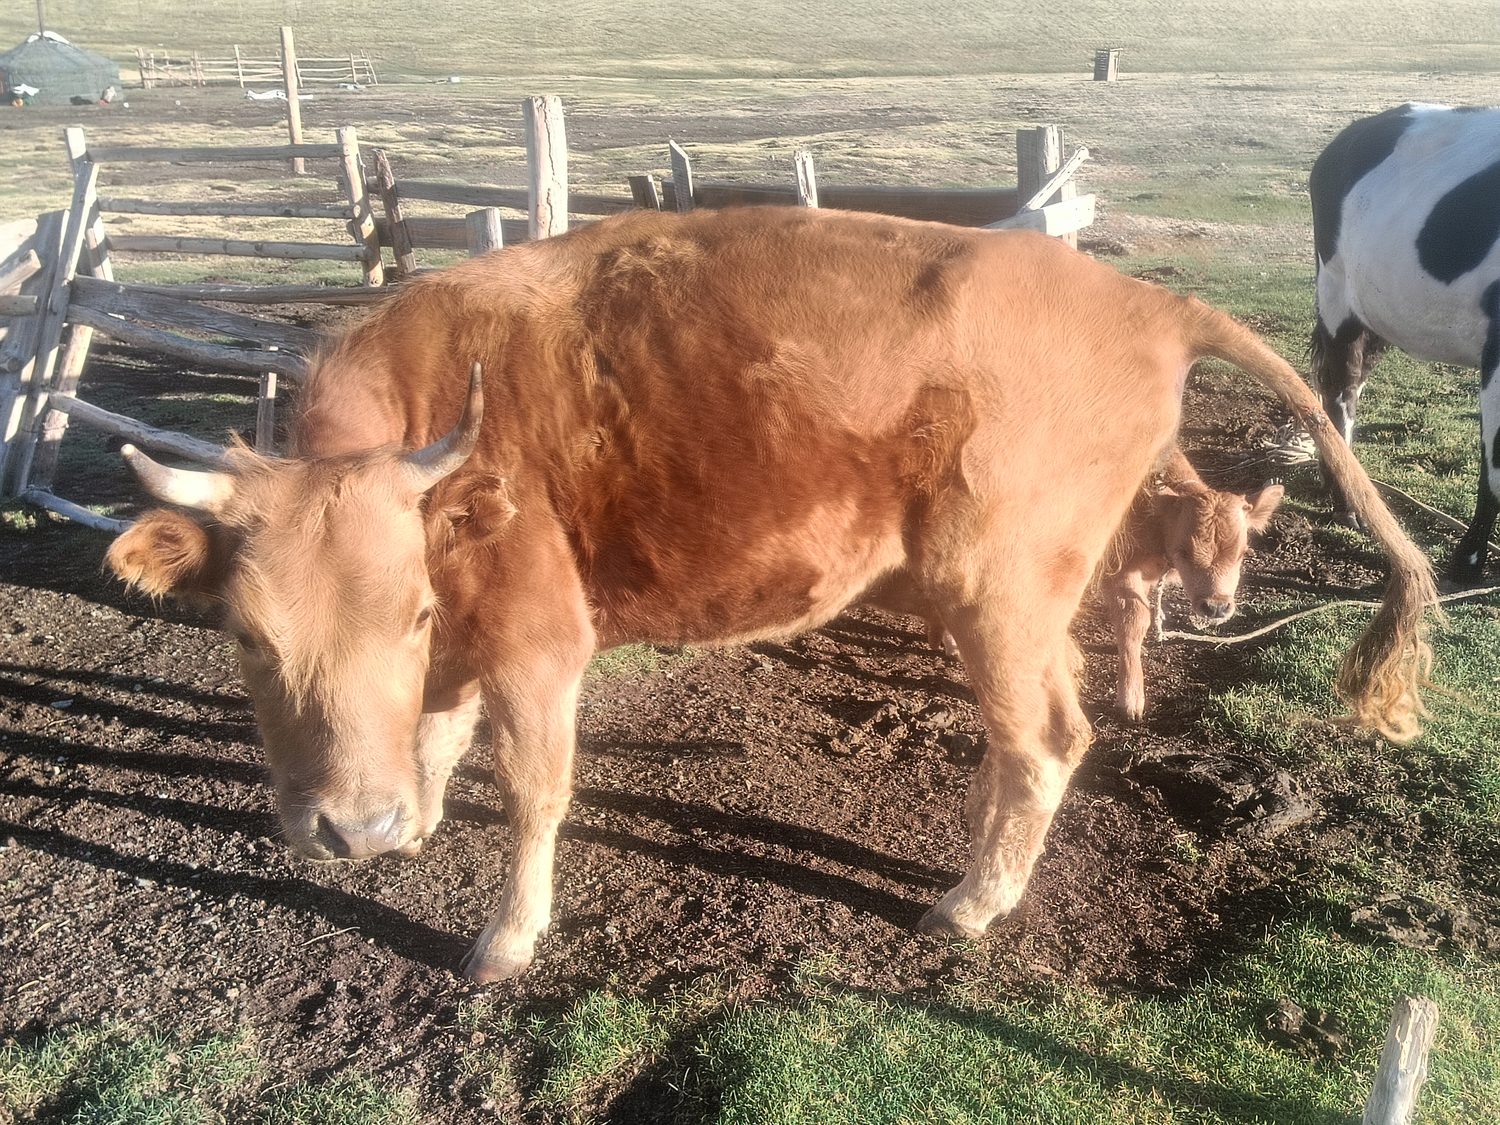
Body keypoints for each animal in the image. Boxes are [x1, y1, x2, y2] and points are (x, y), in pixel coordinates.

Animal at [104, 207, 1435, 983]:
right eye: (245, 634)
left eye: (411, 612)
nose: (349, 831)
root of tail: (1145, 301)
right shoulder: (473, 644)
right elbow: (435, 732)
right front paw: (415, 818)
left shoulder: (539, 644)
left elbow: (535, 792)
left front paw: (505, 938)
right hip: (1026, 606)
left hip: (999, 598)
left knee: (1047, 740)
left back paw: (972, 904)